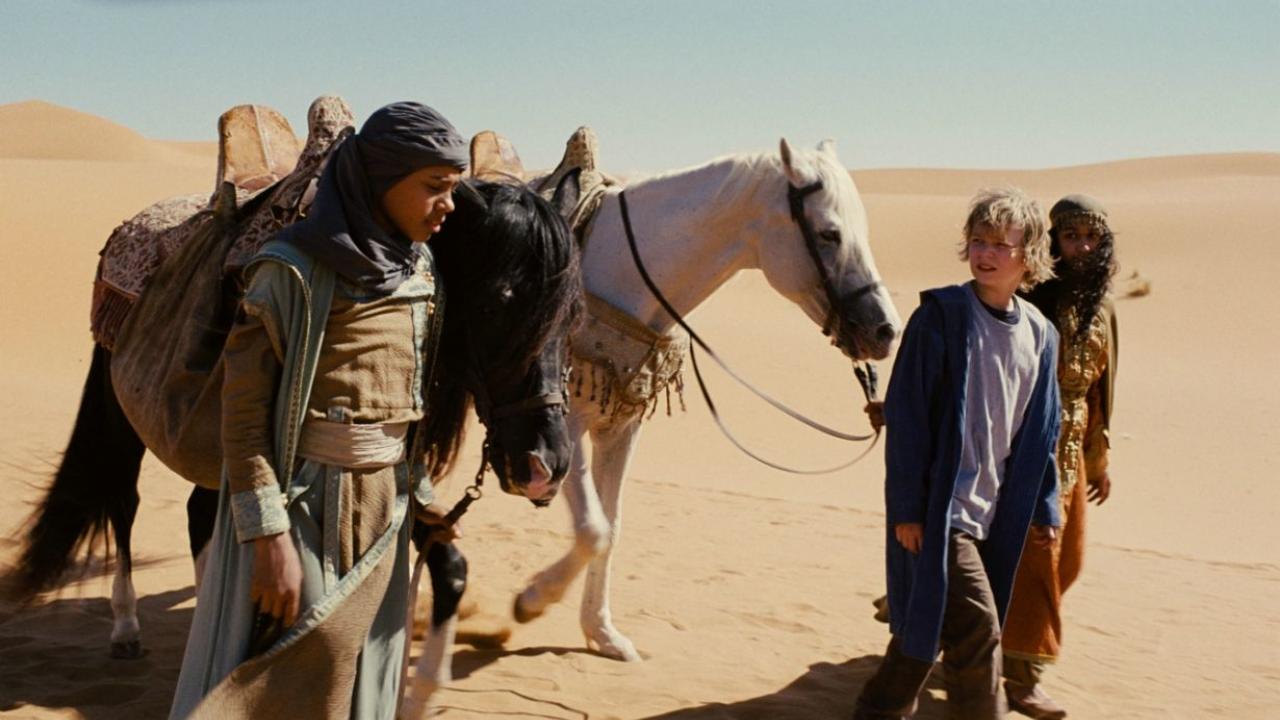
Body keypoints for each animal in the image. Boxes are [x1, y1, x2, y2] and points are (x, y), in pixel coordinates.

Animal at [3, 176, 586, 661]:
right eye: (495, 304)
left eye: (573, 313)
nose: (547, 465)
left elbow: (448, 566)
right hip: (123, 418)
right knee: (124, 502)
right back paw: (127, 627)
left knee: (198, 514)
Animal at [504, 137, 906, 661]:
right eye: (829, 233)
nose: (886, 330)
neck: (618, 269)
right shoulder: (565, 425)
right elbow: (593, 528)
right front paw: (532, 600)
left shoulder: (621, 425)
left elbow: (611, 527)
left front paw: (602, 632)